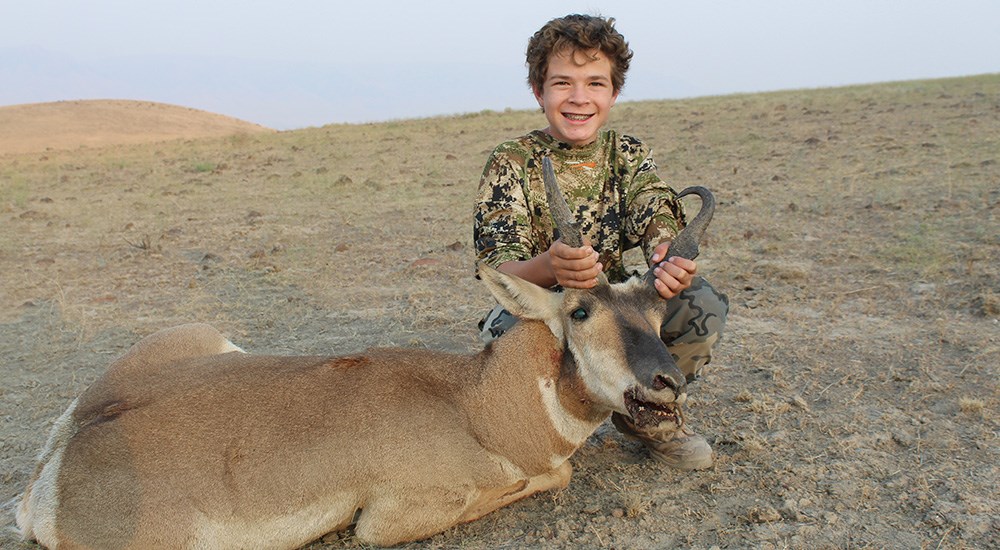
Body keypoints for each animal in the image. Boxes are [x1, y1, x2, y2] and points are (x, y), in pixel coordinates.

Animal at [17, 158, 720, 548]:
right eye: (580, 311)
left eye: (658, 314)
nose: (667, 384)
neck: (473, 402)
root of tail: (57, 472)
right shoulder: (386, 520)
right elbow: (552, 476)